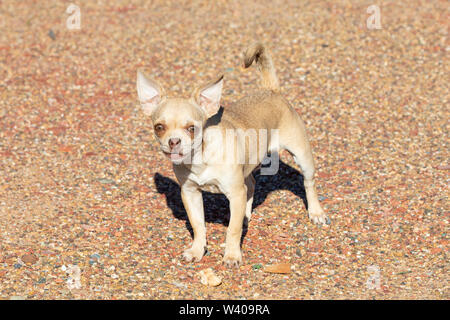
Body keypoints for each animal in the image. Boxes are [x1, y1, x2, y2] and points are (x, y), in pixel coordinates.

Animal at [137, 43, 326, 268]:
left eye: (192, 128)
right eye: (159, 127)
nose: (174, 141)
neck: (200, 158)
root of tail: (271, 90)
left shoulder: (234, 193)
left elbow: (232, 230)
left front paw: (232, 255)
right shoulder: (190, 193)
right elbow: (198, 225)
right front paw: (197, 250)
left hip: (302, 156)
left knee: (308, 183)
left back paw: (315, 212)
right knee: (251, 184)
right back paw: (245, 214)